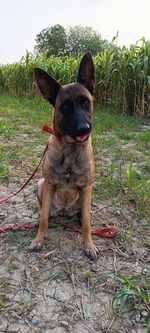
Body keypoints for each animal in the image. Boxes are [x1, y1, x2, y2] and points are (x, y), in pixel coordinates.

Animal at [29, 52, 98, 260]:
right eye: (65, 107)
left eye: (85, 102)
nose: (84, 129)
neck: (70, 148)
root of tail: (64, 211)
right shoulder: (50, 184)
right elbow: (44, 219)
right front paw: (39, 239)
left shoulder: (86, 186)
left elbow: (87, 224)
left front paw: (89, 245)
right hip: (41, 184)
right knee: (44, 212)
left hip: (86, 195)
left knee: (85, 215)